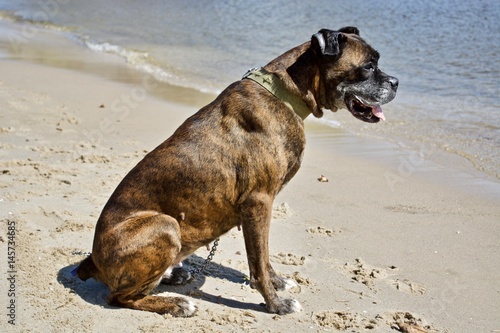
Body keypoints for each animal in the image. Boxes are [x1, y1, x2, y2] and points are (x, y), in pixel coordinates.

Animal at [75, 27, 398, 316]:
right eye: (368, 66)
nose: (396, 82)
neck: (284, 93)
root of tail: (93, 260)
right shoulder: (258, 202)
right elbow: (258, 262)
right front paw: (275, 305)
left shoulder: (260, 208)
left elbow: (264, 255)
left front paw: (278, 283)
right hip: (164, 225)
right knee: (120, 297)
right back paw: (175, 304)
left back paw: (174, 274)